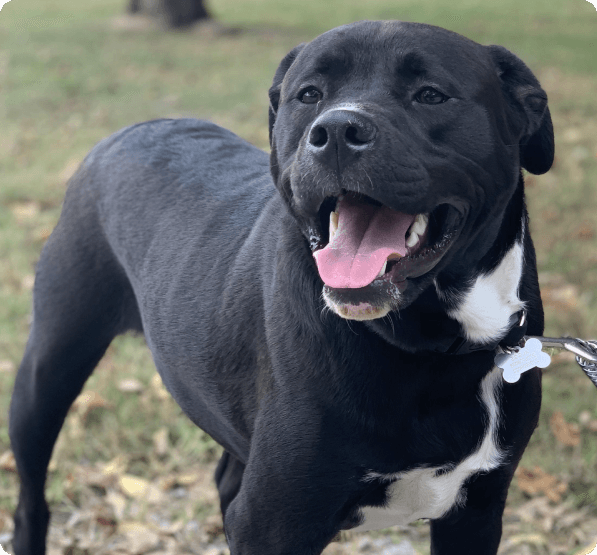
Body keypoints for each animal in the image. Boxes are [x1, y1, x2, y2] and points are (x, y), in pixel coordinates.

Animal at [9, 20, 552, 555]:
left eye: (431, 95)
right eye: (308, 94)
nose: (337, 131)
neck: (436, 346)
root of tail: (132, 128)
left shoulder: (476, 515)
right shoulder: (273, 522)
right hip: (48, 369)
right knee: (31, 499)